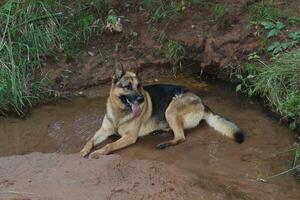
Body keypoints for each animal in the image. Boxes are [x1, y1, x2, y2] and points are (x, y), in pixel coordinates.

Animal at [80, 65, 244, 159]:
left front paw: (97, 153)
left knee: (181, 137)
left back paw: (164, 143)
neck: (119, 113)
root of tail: (201, 101)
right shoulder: (103, 131)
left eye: (139, 86)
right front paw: (83, 150)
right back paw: (158, 131)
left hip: (170, 109)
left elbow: (109, 145)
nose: (141, 99)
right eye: (128, 86)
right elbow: (90, 140)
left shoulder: (129, 137)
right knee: (175, 130)